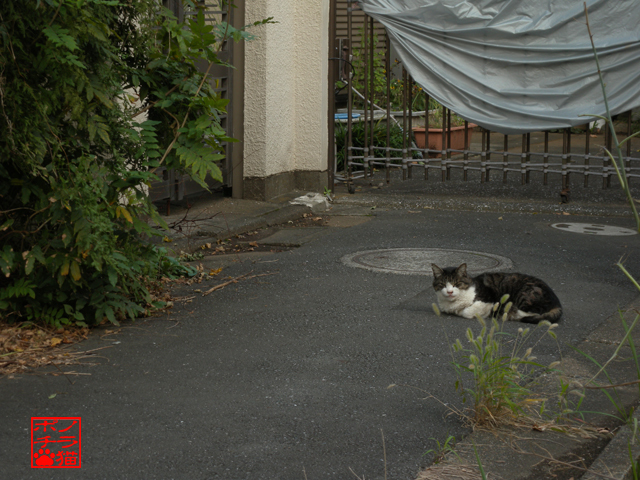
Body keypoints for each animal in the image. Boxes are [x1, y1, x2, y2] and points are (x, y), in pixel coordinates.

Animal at [432, 264, 564, 324]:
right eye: (443, 284)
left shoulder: (489, 299)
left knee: (533, 312)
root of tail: (558, 303)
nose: (449, 291)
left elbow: (467, 312)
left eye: (457, 284)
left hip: (525, 294)